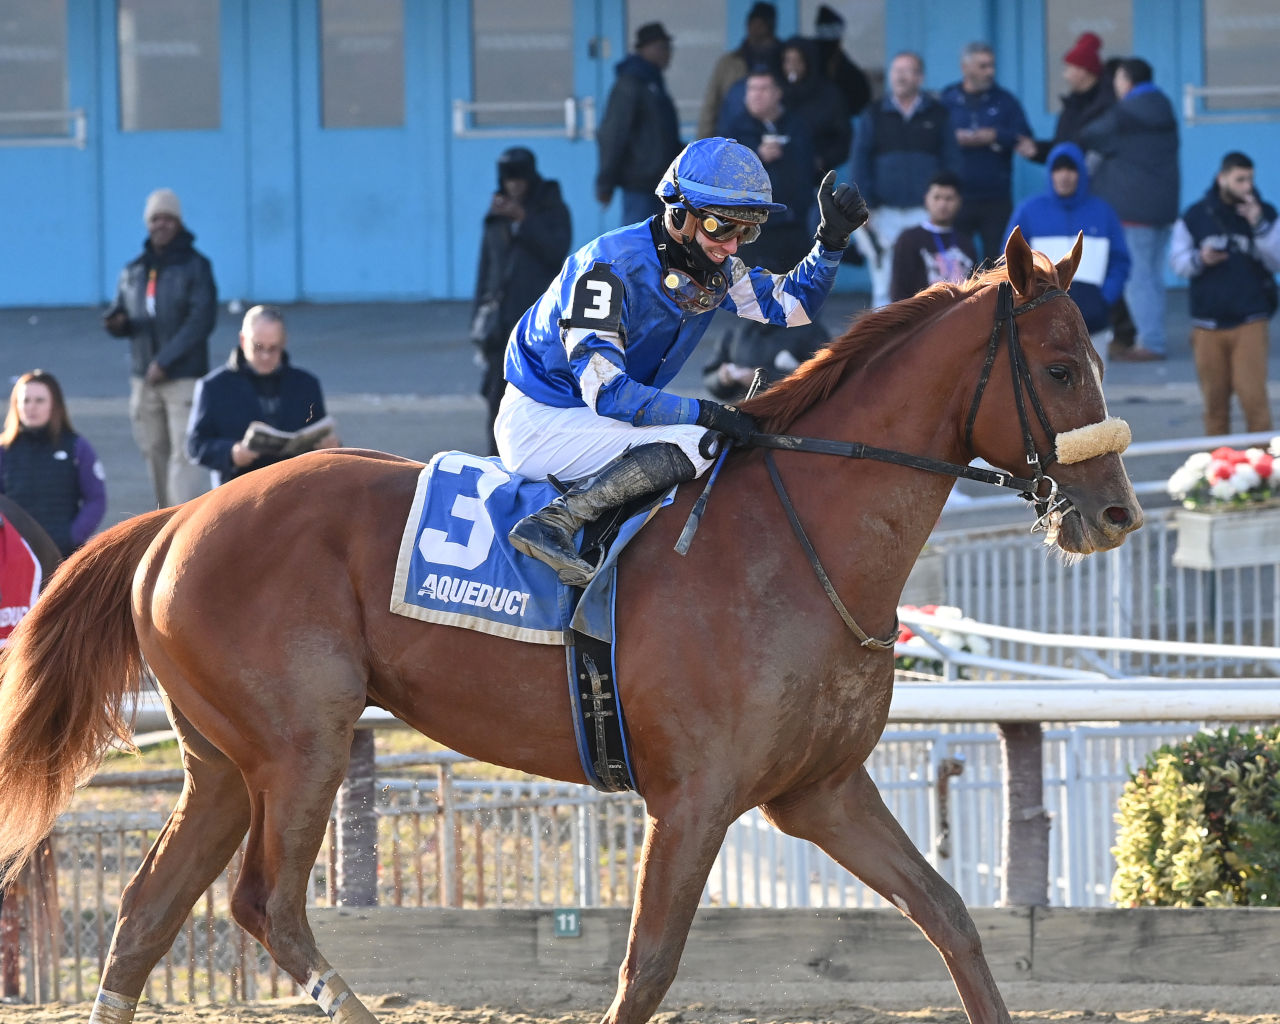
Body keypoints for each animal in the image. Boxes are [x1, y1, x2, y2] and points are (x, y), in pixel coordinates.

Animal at [0, 229, 1140, 1024]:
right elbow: (646, 970)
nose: (1114, 514)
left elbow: (949, 917)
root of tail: (175, 518)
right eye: (1055, 368)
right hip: (301, 743)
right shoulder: (694, 799)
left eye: (1095, 359)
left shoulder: (821, 788)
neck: (795, 538)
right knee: (264, 904)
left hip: (223, 762)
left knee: (146, 916)